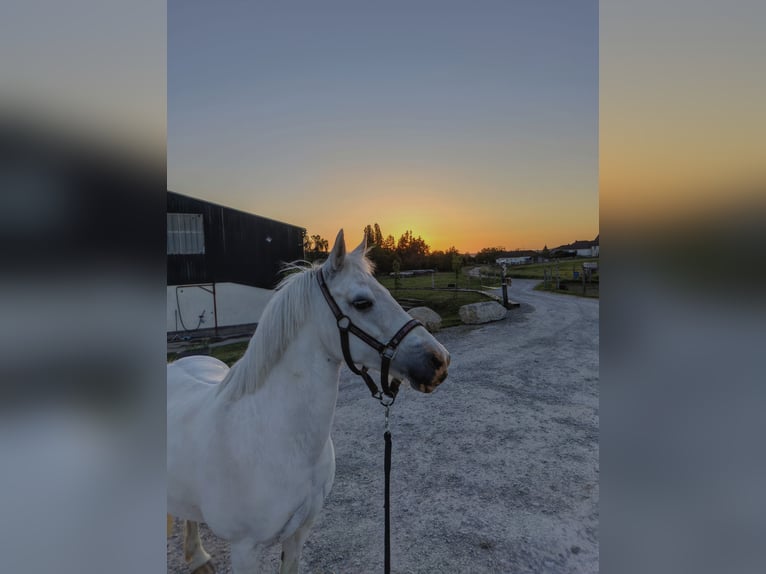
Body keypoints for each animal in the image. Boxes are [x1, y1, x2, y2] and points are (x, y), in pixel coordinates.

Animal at [167, 229, 450, 573]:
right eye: (362, 303)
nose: (439, 361)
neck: (276, 440)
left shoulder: (299, 532)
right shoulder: (245, 548)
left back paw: (197, 557)